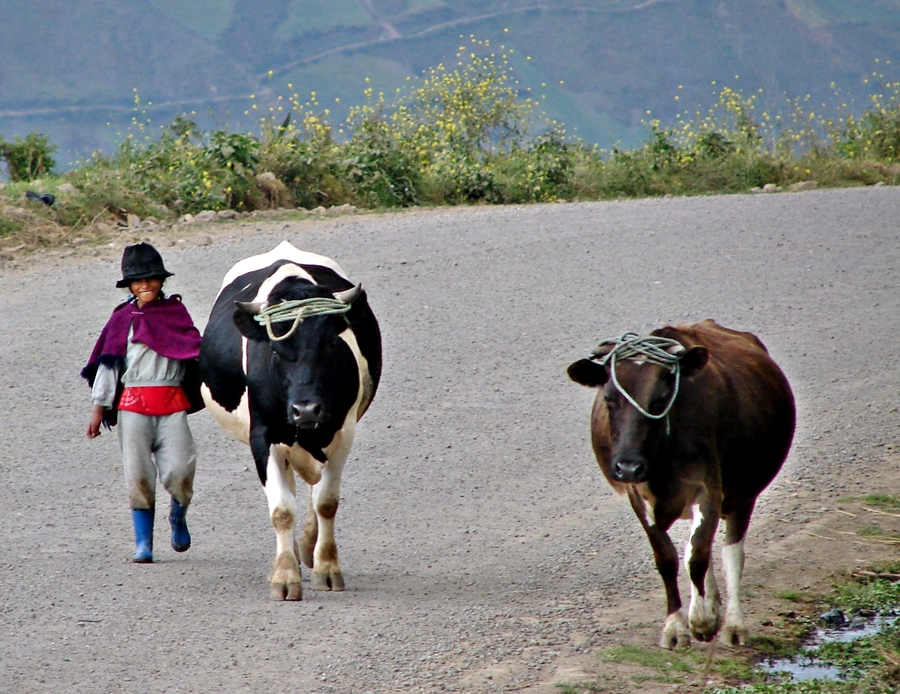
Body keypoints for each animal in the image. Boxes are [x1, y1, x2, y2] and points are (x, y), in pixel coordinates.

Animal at [200, 242, 384, 600]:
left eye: (331, 344)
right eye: (275, 350)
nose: (306, 409)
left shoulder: (343, 431)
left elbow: (326, 502)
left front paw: (327, 567)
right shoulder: (263, 436)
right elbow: (282, 509)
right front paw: (285, 575)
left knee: (313, 492)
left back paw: (308, 547)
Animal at [568, 324, 796, 648]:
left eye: (661, 399)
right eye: (610, 399)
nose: (628, 466)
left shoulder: (710, 489)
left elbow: (698, 555)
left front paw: (701, 621)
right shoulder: (638, 496)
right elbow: (667, 558)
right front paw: (676, 627)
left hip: (743, 491)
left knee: (730, 553)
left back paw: (732, 624)